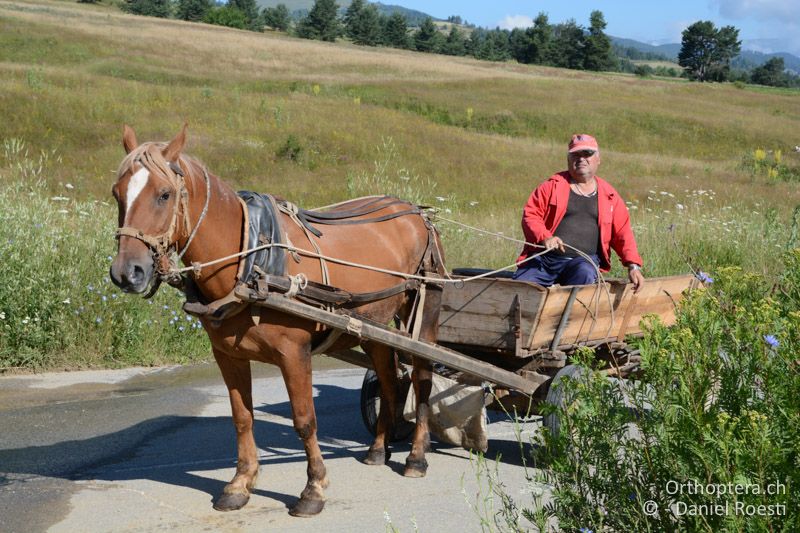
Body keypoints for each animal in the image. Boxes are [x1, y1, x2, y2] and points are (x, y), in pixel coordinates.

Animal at [108, 124, 444, 516]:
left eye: (164, 194)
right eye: (117, 193)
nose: (126, 272)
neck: (251, 261)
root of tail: (416, 212)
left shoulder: (294, 354)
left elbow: (304, 420)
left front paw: (313, 489)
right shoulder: (228, 355)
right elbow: (242, 418)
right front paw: (240, 483)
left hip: (423, 316)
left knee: (422, 379)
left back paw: (417, 457)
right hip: (372, 326)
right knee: (389, 381)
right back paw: (377, 448)